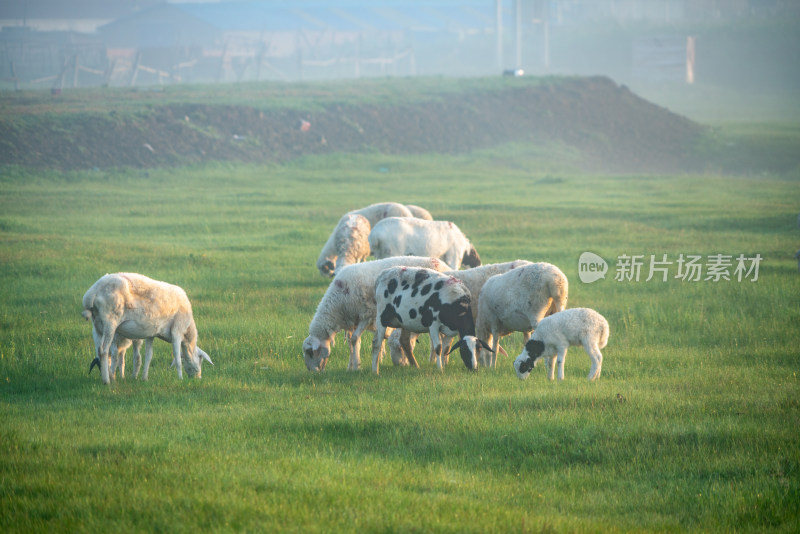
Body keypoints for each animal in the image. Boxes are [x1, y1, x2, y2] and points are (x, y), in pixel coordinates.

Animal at [82, 276, 212, 386]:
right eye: (201, 360)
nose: (198, 378)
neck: (188, 335)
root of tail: (92, 292)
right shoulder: (177, 331)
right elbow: (177, 357)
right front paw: (180, 378)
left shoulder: (151, 334)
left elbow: (149, 356)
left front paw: (145, 378)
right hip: (110, 322)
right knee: (104, 351)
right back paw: (107, 381)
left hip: (97, 325)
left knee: (100, 351)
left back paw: (110, 376)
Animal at [302, 258, 450, 374]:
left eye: (310, 352)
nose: (313, 373)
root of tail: (443, 265)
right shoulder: (353, 320)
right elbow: (352, 342)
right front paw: (351, 366)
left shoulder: (366, 315)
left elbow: (354, 339)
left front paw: (356, 366)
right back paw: (433, 360)